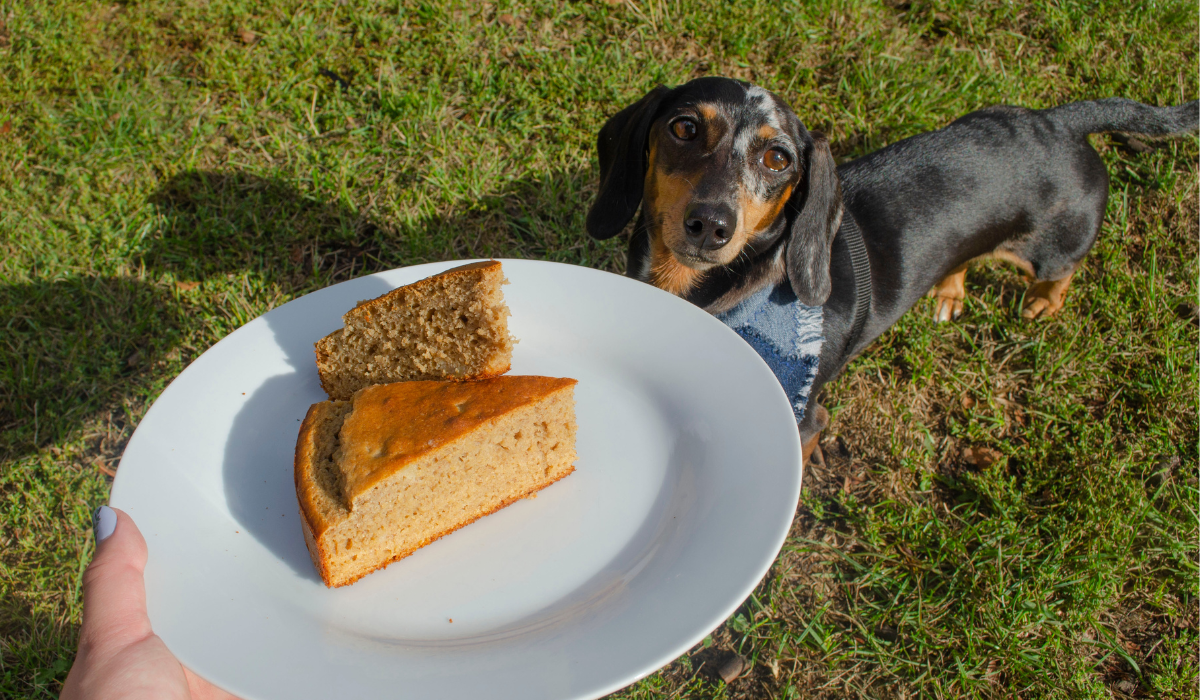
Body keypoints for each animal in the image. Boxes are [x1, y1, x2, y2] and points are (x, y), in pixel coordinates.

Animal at [585, 76, 1195, 463]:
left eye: (778, 158)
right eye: (684, 128)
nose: (711, 225)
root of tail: (1058, 122)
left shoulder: (806, 421)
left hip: (1049, 250)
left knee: (1061, 270)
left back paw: (1045, 302)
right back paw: (949, 292)